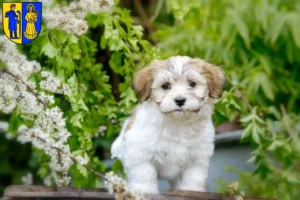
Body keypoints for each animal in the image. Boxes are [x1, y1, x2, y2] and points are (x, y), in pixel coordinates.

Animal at [111, 55, 224, 194]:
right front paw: (144, 190)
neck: (177, 122)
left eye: (192, 84)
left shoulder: (197, 158)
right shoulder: (140, 152)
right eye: (165, 86)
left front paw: (191, 190)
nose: (180, 100)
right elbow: (144, 173)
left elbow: (193, 177)